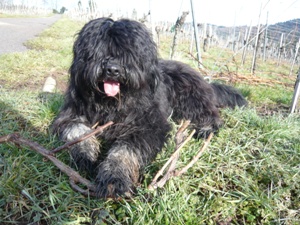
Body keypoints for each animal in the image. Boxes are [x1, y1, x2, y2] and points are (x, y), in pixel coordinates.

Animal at [52, 17, 247, 198]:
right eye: (98, 50)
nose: (113, 70)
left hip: (190, 96)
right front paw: (86, 154)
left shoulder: (149, 125)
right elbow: (77, 130)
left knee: (211, 114)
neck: (111, 102)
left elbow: (125, 150)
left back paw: (206, 128)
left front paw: (114, 176)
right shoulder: (69, 115)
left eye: (129, 52)